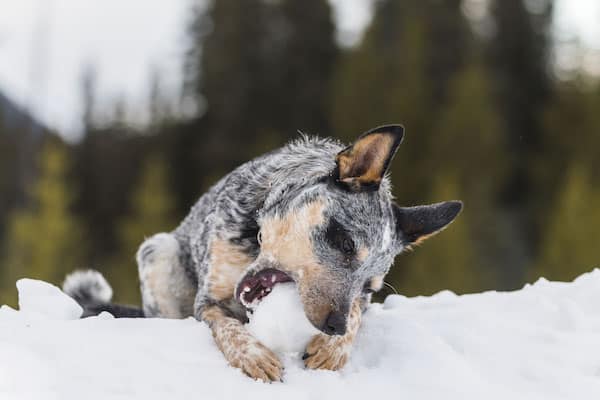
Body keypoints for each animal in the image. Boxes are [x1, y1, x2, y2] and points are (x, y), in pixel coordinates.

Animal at [63, 125, 462, 382]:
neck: (255, 235)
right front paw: (254, 356)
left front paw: (333, 348)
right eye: (346, 243)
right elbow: (229, 329)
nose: (334, 325)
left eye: (371, 287)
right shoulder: (209, 301)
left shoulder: (359, 305)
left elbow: (357, 317)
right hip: (158, 251)